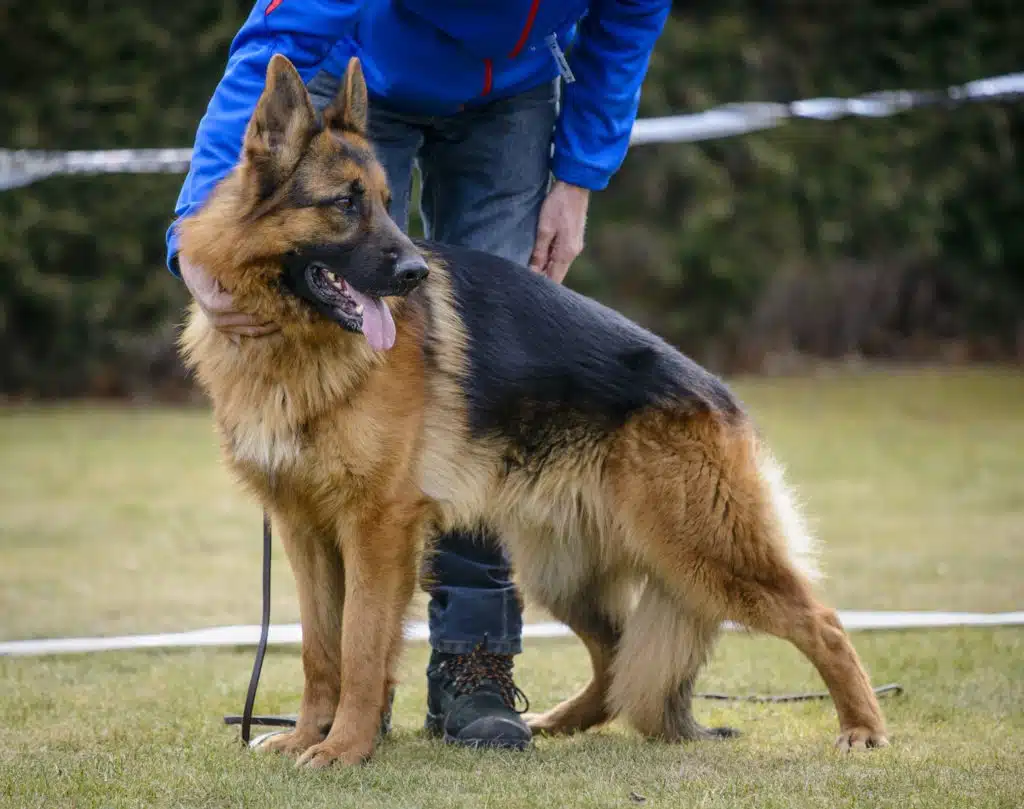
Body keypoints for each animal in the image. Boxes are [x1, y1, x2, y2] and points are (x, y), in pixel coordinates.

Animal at [178, 55, 888, 765]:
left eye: (384, 201)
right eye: (345, 203)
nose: (414, 274)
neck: (293, 341)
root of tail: (721, 398)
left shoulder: (375, 528)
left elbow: (358, 647)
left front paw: (343, 748)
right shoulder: (305, 531)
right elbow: (319, 650)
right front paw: (306, 736)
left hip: (705, 552)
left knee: (821, 622)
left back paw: (862, 728)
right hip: (566, 572)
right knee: (618, 656)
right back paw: (557, 720)